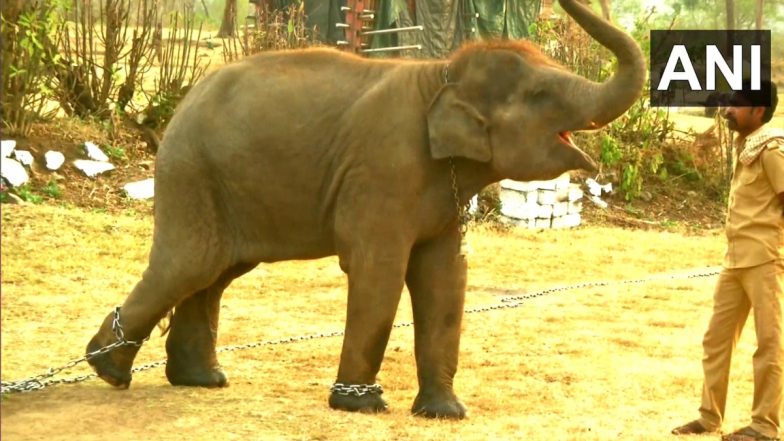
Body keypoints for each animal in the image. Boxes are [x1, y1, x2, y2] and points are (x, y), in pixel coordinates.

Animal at [86, 0, 645, 419]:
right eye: (542, 93)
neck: (441, 74)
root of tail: (179, 106)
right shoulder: (384, 169)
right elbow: (379, 270)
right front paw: (362, 406)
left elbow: (445, 278)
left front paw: (446, 413)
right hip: (192, 173)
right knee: (190, 264)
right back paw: (107, 370)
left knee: (216, 273)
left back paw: (199, 380)